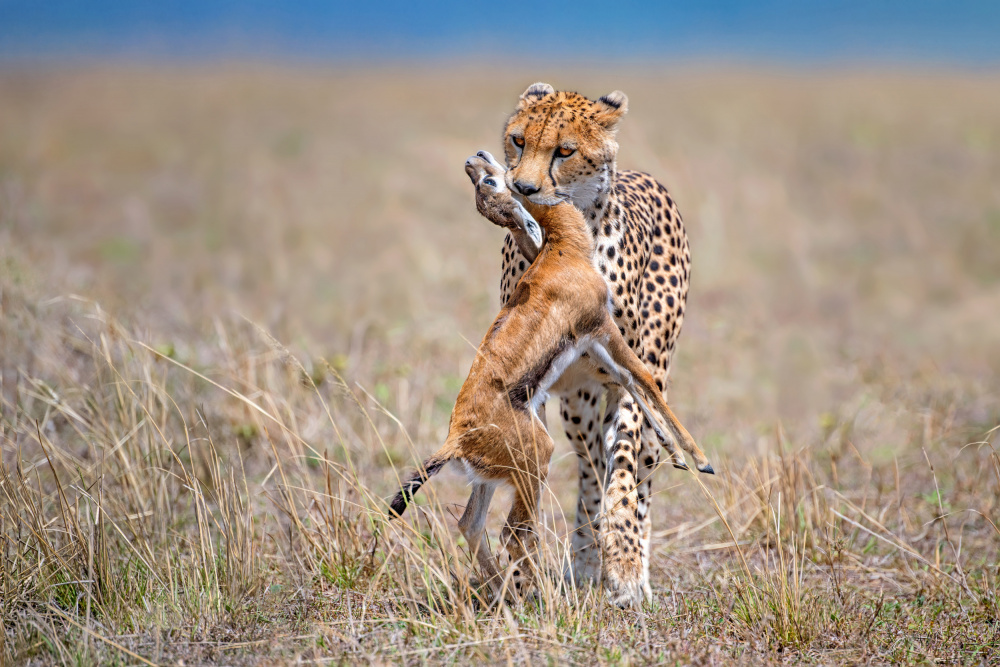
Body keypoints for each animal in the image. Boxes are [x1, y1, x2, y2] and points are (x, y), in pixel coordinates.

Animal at [386, 151, 708, 604]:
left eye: (486, 182)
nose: (473, 158)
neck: (562, 248)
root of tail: (456, 438)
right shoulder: (603, 328)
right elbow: (644, 380)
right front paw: (701, 459)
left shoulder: (593, 344)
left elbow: (634, 386)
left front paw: (676, 452)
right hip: (538, 460)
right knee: (512, 532)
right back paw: (536, 595)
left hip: (497, 475)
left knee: (471, 523)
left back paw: (502, 593)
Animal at [494, 81, 700, 608]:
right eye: (519, 140)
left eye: (564, 151)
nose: (523, 189)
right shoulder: (530, 383)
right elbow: (535, 476)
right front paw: (523, 576)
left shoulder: (629, 378)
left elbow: (623, 470)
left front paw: (624, 565)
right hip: (578, 405)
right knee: (588, 472)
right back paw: (587, 560)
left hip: (648, 380)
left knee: (636, 469)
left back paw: (630, 566)